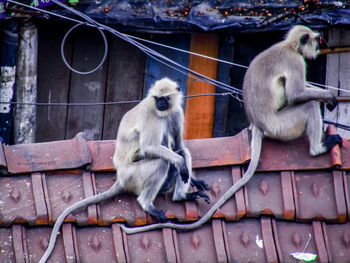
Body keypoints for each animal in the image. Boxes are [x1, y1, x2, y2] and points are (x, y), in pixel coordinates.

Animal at [40, 78, 211, 263]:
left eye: (164, 98)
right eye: (157, 98)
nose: (160, 104)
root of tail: (120, 177)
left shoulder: (176, 112)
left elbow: (179, 145)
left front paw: (194, 180)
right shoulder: (151, 113)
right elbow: (150, 147)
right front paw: (180, 165)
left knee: (181, 152)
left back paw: (181, 196)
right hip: (133, 175)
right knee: (162, 161)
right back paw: (147, 203)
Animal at [119, 24, 342, 235]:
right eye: (316, 41)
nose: (319, 47)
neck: (289, 47)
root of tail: (258, 125)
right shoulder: (295, 61)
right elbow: (296, 94)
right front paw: (330, 97)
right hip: (282, 125)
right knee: (309, 105)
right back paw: (318, 149)